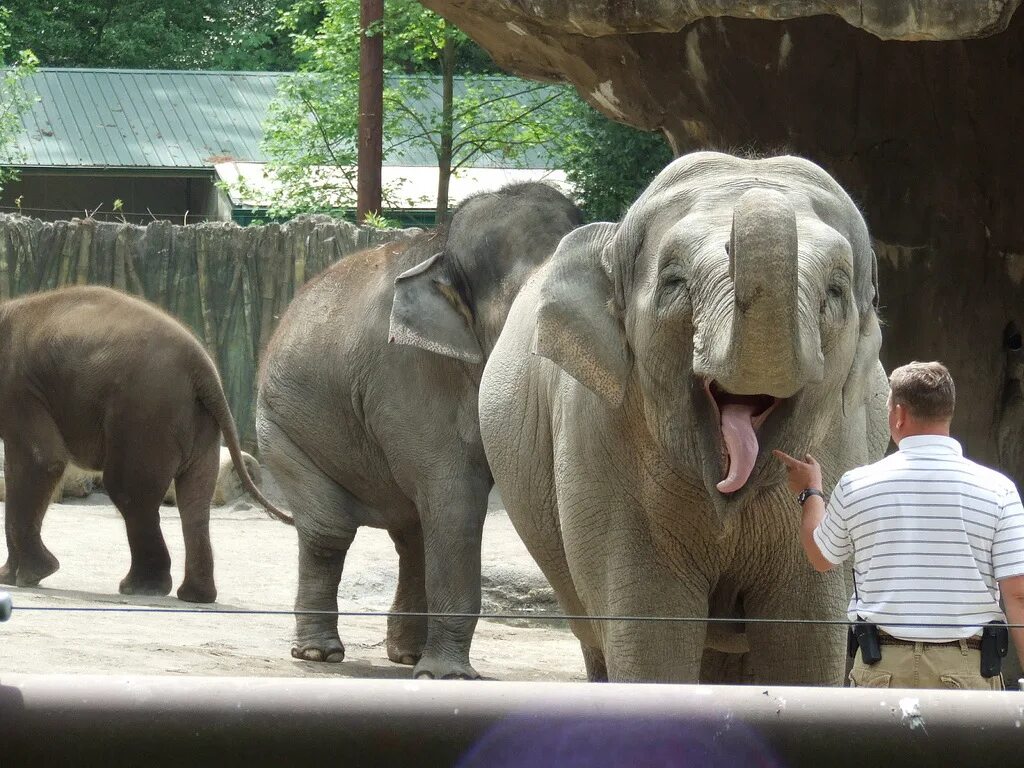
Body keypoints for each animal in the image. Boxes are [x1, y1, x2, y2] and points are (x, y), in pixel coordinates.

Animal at [0, 286, 290, 606]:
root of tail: (203, 367)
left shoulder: (18, 388)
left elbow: (42, 461)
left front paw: (30, 577)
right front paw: (8, 577)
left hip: (145, 412)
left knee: (127, 489)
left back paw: (140, 588)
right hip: (198, 421)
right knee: (195, 498)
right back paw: (195, 596)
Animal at [256, 183, 585, 684]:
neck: (442, 248)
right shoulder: (409, 373)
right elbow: (454, 493)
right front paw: (449, 678)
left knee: (412, 535)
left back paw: (407, 656)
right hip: (281, 428)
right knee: (331, 529)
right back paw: (319, 654)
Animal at [479, 151, 888, 684]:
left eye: (835, 291)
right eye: (675, 283)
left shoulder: (844, 439)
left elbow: (806, 643)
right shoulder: (597, 440)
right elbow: (652, 638)